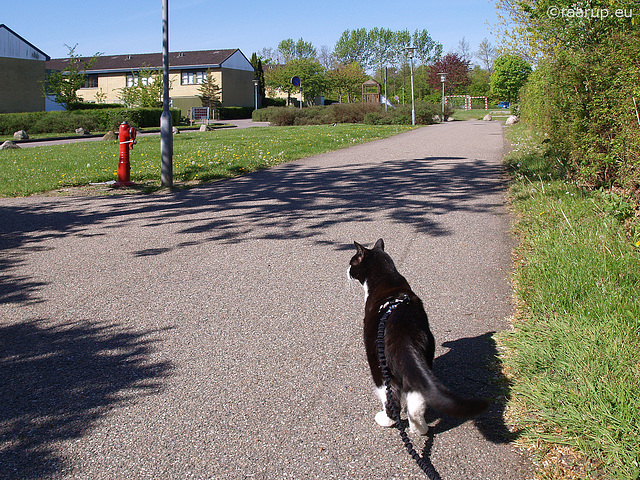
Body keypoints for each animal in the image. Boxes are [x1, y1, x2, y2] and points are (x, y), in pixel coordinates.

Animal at [348, 238, 488, 434]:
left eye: (352, 263)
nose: (347, 271)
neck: (386, 278)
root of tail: (404, 338)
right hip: (423, 356)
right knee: (415, 401)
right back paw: (420, 429)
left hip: (379, 365)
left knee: (392, 402)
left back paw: (385, 420)